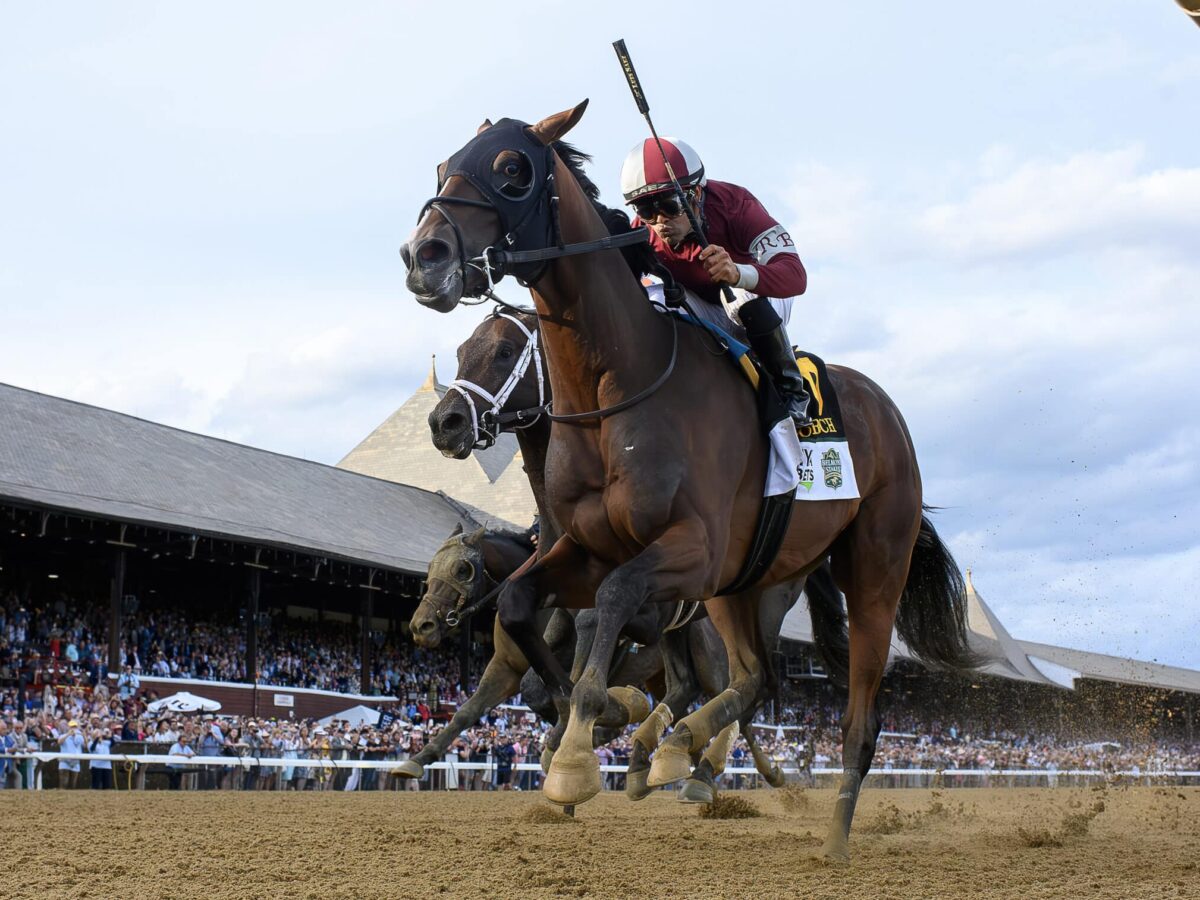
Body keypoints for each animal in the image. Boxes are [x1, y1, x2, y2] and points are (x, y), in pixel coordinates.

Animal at [400, 102, 974, 864]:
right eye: (442, 166)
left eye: (512, 170)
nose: (423, 256)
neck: (622, 384)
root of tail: (888, 415)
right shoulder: (584, 550)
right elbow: (523, 608)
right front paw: (597, 727)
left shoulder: (687, 551)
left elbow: (610, 608)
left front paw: (581, 750)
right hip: (744, 585)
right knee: (754, 678)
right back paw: (681, 750)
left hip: (872, 568)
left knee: (859, 716)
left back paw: (827, 831)